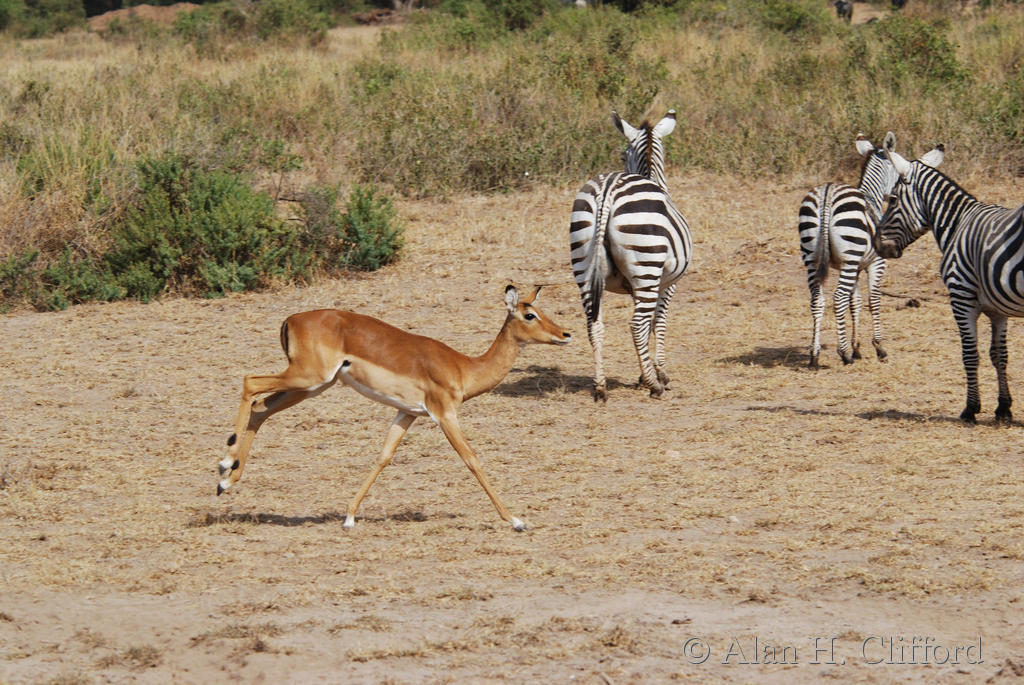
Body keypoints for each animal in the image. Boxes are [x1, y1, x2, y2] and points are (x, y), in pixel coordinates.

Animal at [217, 285, 571, 531]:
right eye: (529, 314)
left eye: (541, 309)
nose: (565, 334)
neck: (463, 367)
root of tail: (290, 319)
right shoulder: (445, 414)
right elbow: (472, 459)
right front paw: (516, 520)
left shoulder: (407, 413)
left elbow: (383, 457)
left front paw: (349, 517)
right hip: (307, 377)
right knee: (250, 382)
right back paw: (224, 464)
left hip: (311, 386)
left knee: (260, 407)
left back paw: (226, 481)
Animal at [569, 109, 692, 401]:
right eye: (623, 158)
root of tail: (607, 190)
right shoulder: (666, 283)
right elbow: (657, 322)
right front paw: (658, 373)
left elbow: (649, 326)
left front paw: (643, 373)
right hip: (647, 265)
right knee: (636, 325)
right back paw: (655, 387)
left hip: (583, 262)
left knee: (594, 324)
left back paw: (600, 387)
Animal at [798, 132, 903, 369]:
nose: (895, 197)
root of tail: (827, 194)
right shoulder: (875, 264)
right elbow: (873, 300)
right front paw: (878, 348)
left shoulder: (856, 266)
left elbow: (855, 302)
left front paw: (857, 347)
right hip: (847, 258)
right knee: (837, 298)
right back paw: (844, 354)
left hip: (812, 258)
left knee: (817, 301)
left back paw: (814, 356)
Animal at [876, 142, 1023, 424]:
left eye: (892, 199)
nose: (879, 246)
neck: (957, 224)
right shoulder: (997, 310)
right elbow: (999, 356)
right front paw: (1003, 408)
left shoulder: (961, 296)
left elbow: (970, 355)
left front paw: (970, 409)